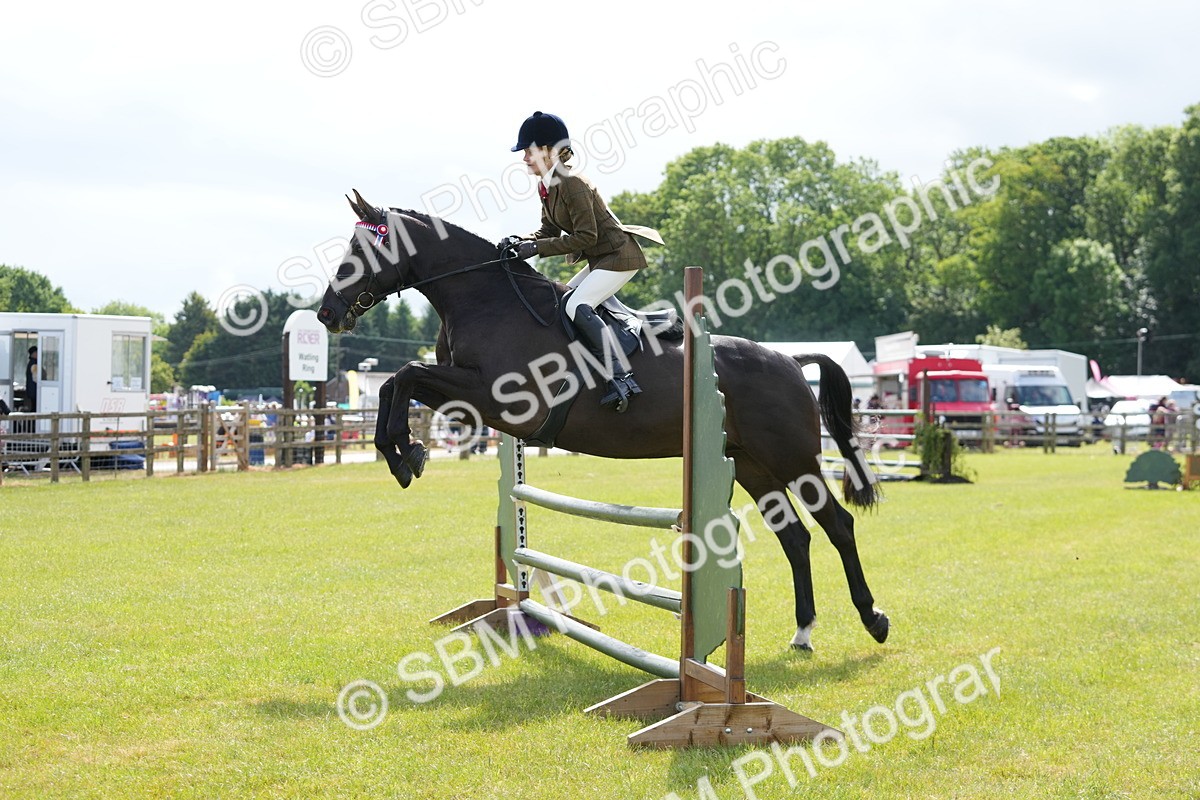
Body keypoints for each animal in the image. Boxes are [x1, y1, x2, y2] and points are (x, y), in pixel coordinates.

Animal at [317, 190, 889, 651]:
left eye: (361, 251)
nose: (327, 313)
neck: (487, 300)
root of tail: (790, 359)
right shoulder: (467, 400)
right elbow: (398, 382)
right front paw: (403, 453)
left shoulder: (499, 400)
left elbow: (405, 374)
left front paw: (403, 452)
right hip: (751, 464)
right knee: (795, 536)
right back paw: (804, 631)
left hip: (792, 458)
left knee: (837, 524)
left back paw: (873, 618)